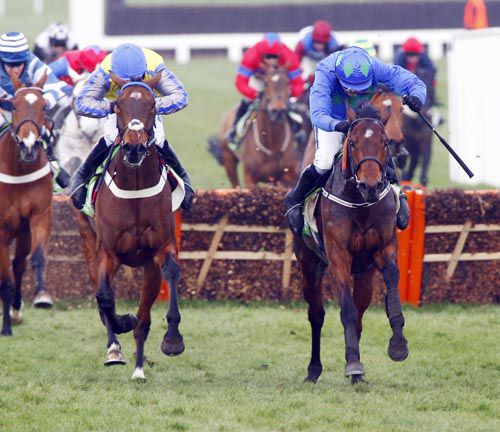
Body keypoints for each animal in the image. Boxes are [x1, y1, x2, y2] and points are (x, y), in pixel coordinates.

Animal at [73, 75, 185, 382]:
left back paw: (138, 369)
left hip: (147, 267)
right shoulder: (108, 253)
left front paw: (173, 340)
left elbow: (171, 272)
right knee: (102, 297)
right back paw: (114, 349)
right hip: (89, 242)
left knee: (144, 319)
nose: (134, 147)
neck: (134, 186)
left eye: (152, 106)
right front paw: (122, 323)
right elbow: (104, 297)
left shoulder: (161, 248)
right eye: (119, 106)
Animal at [294, 106, 408, 384]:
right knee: (316, 315)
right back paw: (314, 370)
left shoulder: (384, 249)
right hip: (309, 265)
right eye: (353, 142)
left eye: (385, 142)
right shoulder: (338, 256)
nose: (371, 185)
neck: (359, 201)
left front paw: (398, 344)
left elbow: (391, 288)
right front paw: (354, 365)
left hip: (364, 275)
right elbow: (345, 309)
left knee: (360, 313)